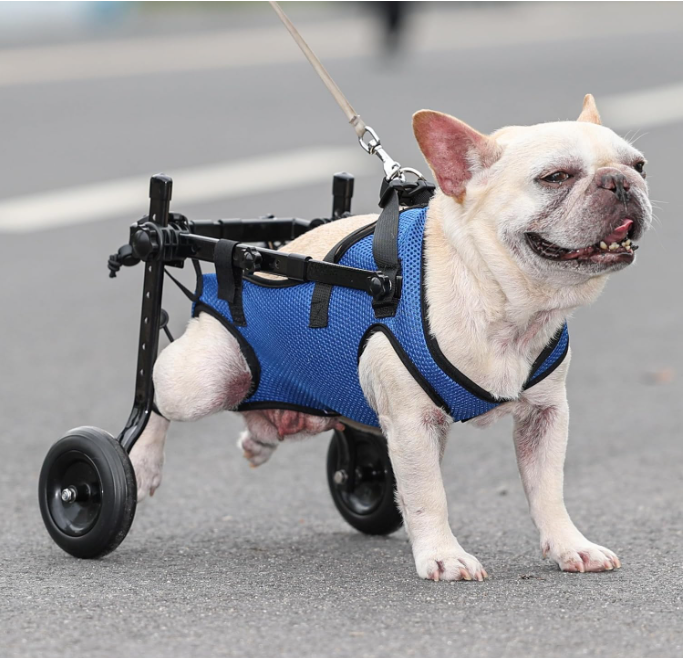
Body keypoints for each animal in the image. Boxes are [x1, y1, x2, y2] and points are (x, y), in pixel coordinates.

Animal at [132, 96, 652, 580]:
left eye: (639, 164)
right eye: (555, 177)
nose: (619, 181)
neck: (505, 305)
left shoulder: (544, 416)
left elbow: (548, 489)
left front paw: (570, 546)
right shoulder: (412, 424)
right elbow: (429, 494)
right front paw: (444, 556)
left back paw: (262, 439)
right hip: (202, 381)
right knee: (156, 393)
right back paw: (141, 464)